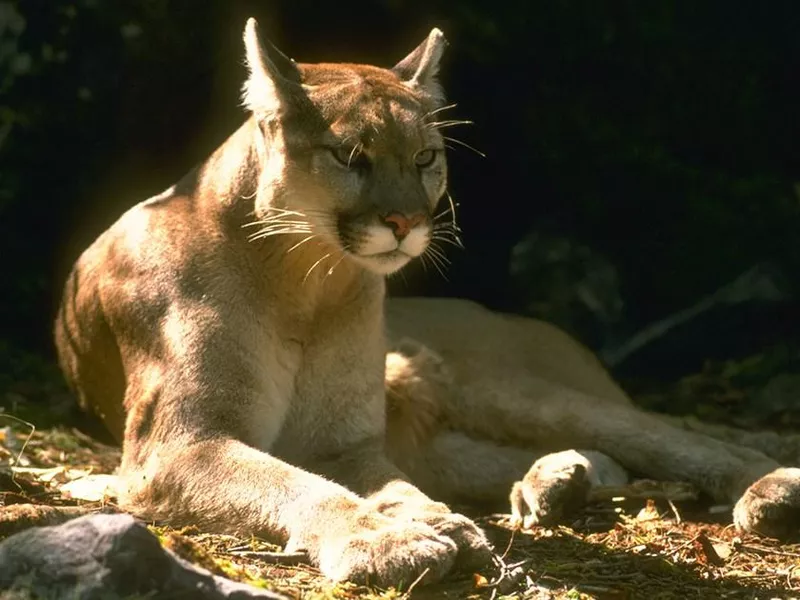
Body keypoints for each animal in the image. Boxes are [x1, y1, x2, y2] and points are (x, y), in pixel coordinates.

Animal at [56, 17, 800, 584]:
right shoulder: (180, 444)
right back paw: (555, 486)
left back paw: (770, 490)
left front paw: (423, 526)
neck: (306, 279)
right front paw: (397, 537)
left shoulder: (338, 441)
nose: (407, 221)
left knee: (671, 435)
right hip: (451, 434)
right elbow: (295, 484)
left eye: (424, 158)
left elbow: (370, 485)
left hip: (499, 386)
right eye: (350, 155)